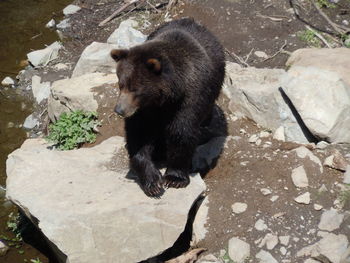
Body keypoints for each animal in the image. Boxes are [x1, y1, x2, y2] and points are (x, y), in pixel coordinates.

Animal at [112, 17, 227, 197]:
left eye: (135, 89)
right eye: (120, 84)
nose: (120, 110)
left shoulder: (189, 99)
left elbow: (181, 132)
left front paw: (174, 178)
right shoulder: (144, 110)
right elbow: (139, 134)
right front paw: (152, 182)